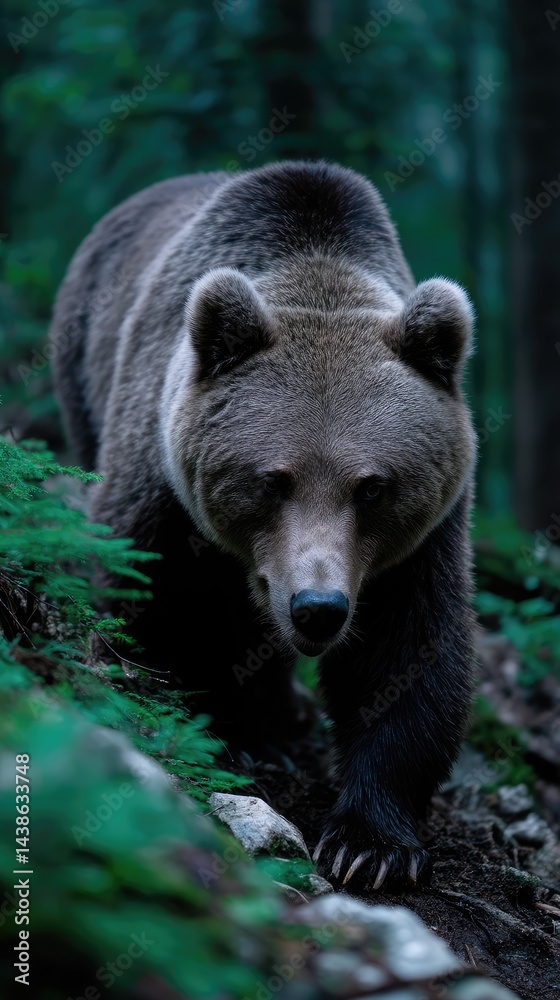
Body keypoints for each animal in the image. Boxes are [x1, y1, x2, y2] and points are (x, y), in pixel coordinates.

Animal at [49, 160, 476, 891]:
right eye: (274, 479)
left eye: (373, 487)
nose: (318, 608)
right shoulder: (161, 483)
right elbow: (152, 603)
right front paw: (208, 729)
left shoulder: (419, 541)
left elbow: (409, 651)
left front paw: (371, 844)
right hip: (82, 369)